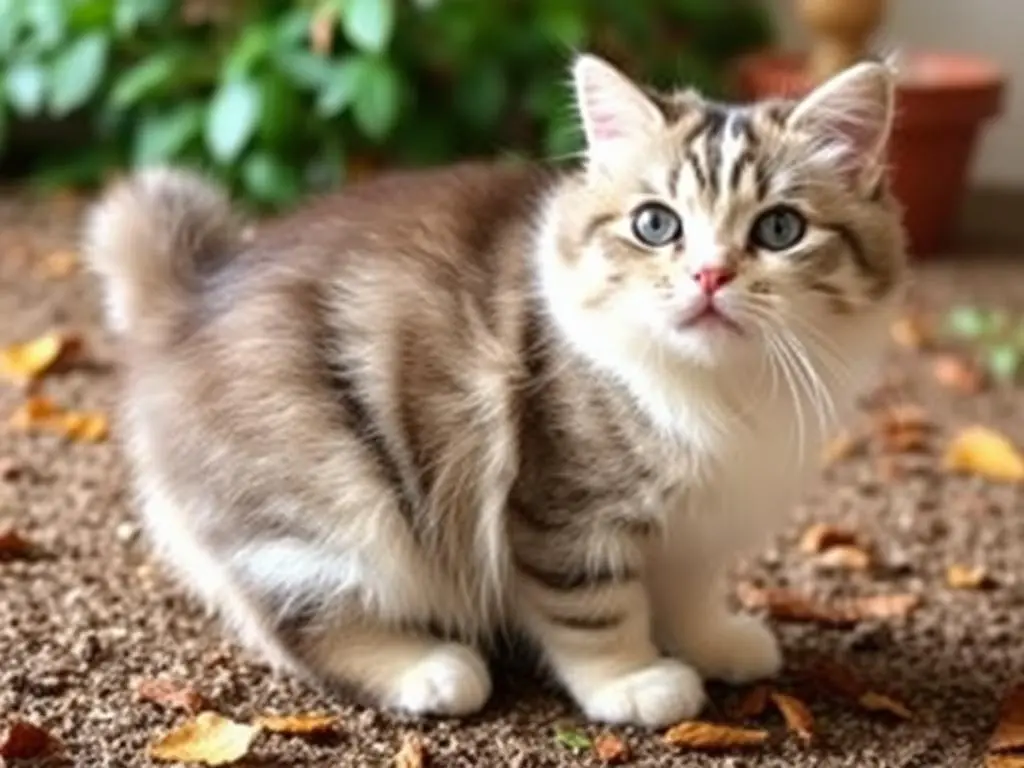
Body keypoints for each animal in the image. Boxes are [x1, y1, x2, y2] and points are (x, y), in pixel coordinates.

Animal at [83, 54, 909, 729]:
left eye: (779, 229)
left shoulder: (698, 523)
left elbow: (689, 591)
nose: (710, 275)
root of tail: (186, 301)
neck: (719, 392)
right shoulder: (566, 510)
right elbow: (597, 611)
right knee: (294, 628)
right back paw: (432, 667)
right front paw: (634, 681)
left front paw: (716, 640)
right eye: (656, 225)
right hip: (328, 502)